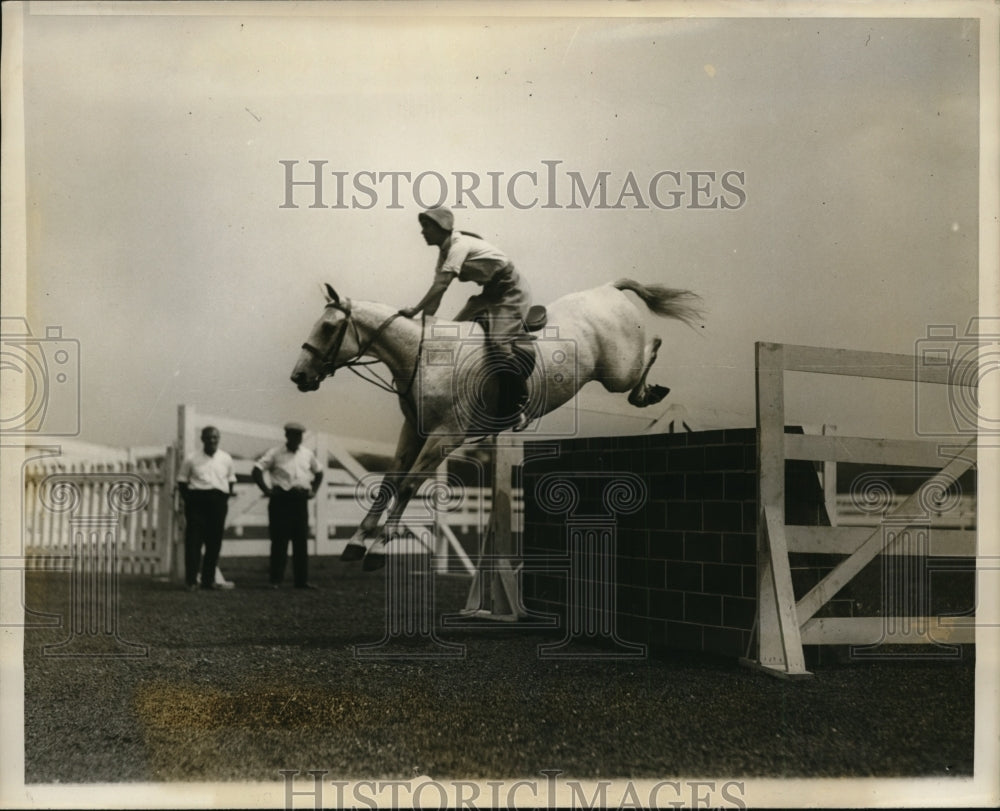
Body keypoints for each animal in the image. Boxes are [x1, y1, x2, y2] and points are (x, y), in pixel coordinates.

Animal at [290, 280, 700, 572]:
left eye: (328, 328)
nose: (299, 376)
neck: (424, 357)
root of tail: (608, 289)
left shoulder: (445, 436)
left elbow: (408, 485)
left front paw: (377, 549)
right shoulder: (414, 430)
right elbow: (390, 481)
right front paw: (355, 543)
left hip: (617, 370)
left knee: (651, 349)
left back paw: (648, 391)